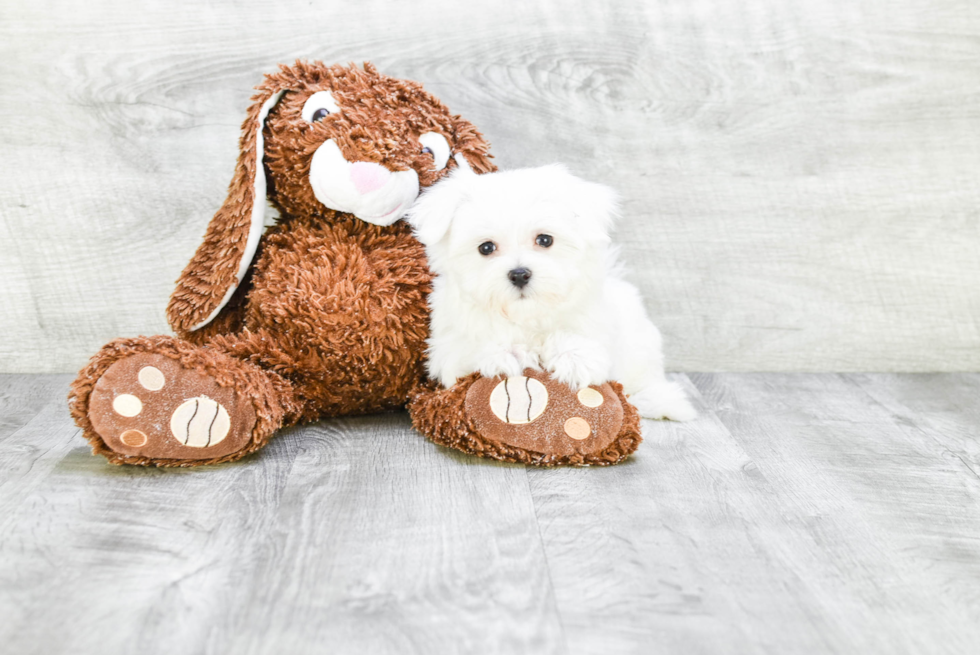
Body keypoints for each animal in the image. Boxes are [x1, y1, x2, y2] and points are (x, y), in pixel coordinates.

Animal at [406, 162, 696, 422]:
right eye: (486, 248)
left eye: (545, 240)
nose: (519, 274)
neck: (527, 315)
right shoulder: (446, 348)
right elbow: (471, 347)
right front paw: (506, 353)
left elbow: (582, 339)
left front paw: (575, 358)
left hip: (642, 346)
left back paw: (661, 401)